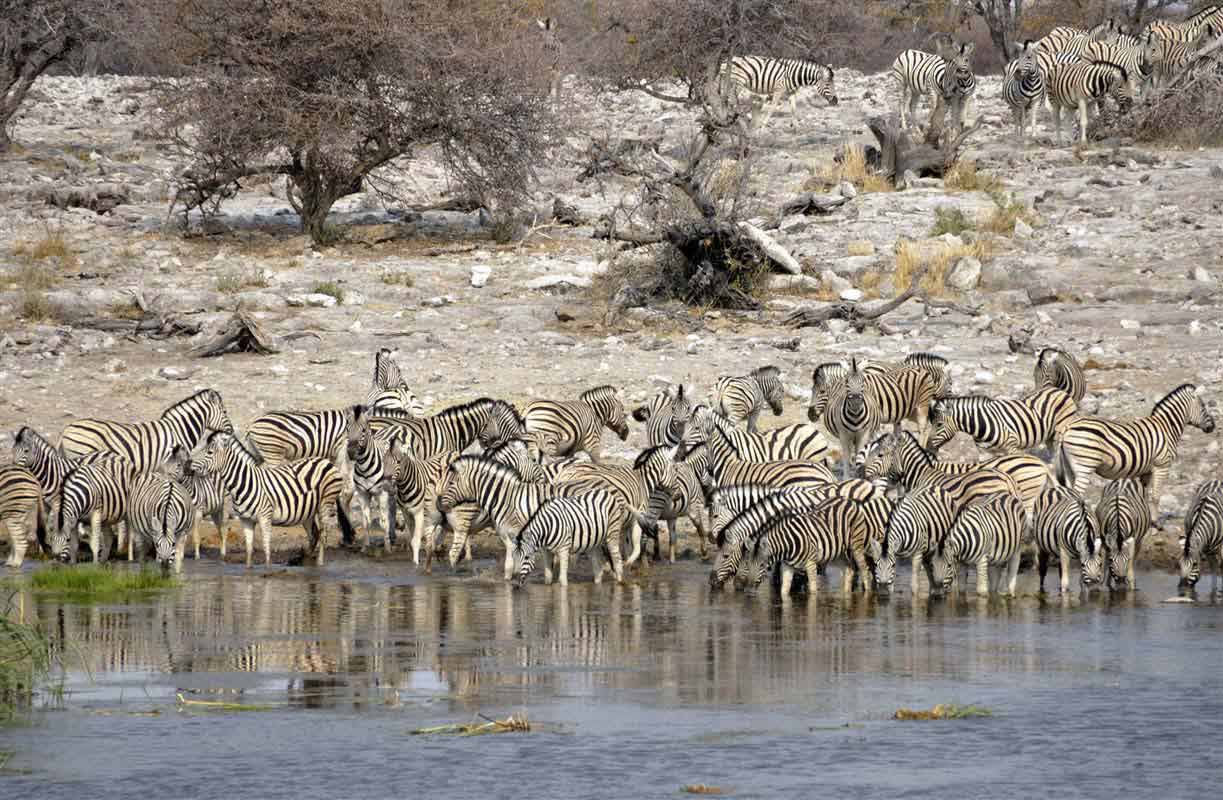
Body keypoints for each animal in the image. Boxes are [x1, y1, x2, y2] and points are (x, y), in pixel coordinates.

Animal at [189, 433, 354, 570]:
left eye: (209, 453)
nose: (188, 467)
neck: (245, 482)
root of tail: (326, 461)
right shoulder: (245, 520)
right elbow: (249, 548)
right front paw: (248, 570)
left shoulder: (265, 517)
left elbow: (266, 546)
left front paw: (268, 570)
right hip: (308, 511)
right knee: (314, 534)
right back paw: (304, 559)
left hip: (325, 503)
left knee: (324, 533)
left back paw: (319, 563)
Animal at [924, 388, 1081, 457]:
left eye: (939, 425)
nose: (927, 449)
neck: (981, 426)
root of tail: (1058, 390)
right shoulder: (985, 453)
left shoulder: (1012, 448)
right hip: (1049, 434)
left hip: (1061, 430)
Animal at [1051, 386, 1213, 523]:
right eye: (1203, 407)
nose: (1213, 426)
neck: (1166, 427)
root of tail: (1067, 427)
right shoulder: (1162, 465)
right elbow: (1155, 496)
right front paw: (1155, 523)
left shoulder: (1147, 470)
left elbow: (1144, 495)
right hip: (1085, 466)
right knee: (1077, 494)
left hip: (1070, 468)